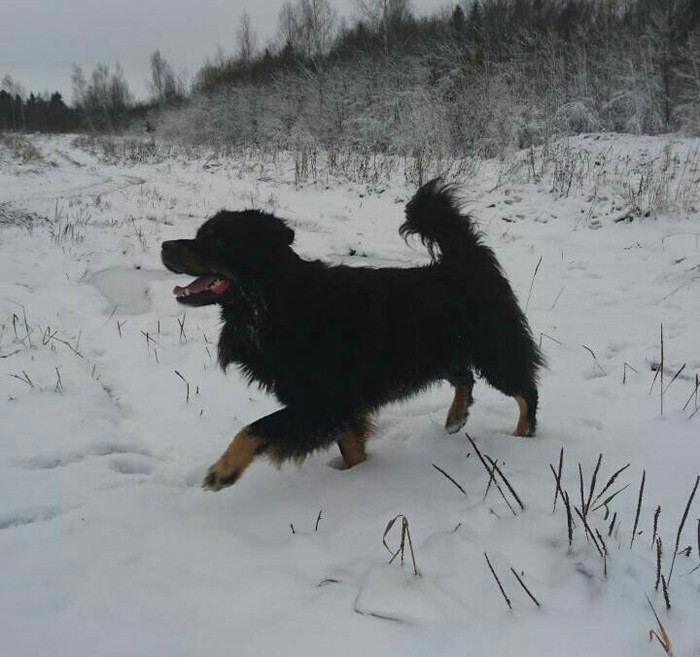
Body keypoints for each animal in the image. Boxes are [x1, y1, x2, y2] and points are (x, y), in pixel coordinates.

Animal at [161, 179, 544, 491]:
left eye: (217, 239)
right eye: (200, 233)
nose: (164, 245)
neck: (276, 303)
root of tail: (466, 260)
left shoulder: (323, 401)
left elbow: (255, 428)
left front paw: (224, 471)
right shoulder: (336, 403)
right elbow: (350, 446)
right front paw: (358, 475)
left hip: (493, 350)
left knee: (525, 390)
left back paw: (522, 436)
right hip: (437, 352)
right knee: (464, 376)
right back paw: (455, 418)